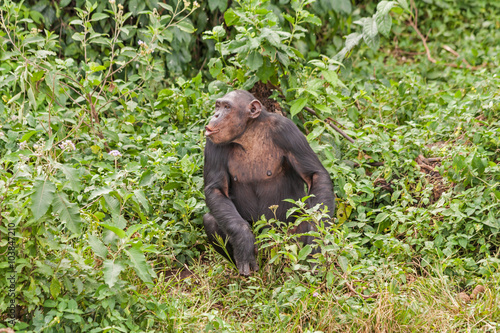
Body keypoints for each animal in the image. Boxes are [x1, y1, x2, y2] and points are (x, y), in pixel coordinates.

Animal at [203, 89, 336, 274]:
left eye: (227, 107)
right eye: (218, 106)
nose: (215, 115)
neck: (248, 134)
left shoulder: (287, 131)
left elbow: (314, 175)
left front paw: (318, 239)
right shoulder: (213, 143)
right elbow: (216, 189)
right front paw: (243, 239)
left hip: (284, 241)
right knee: (210, 220)